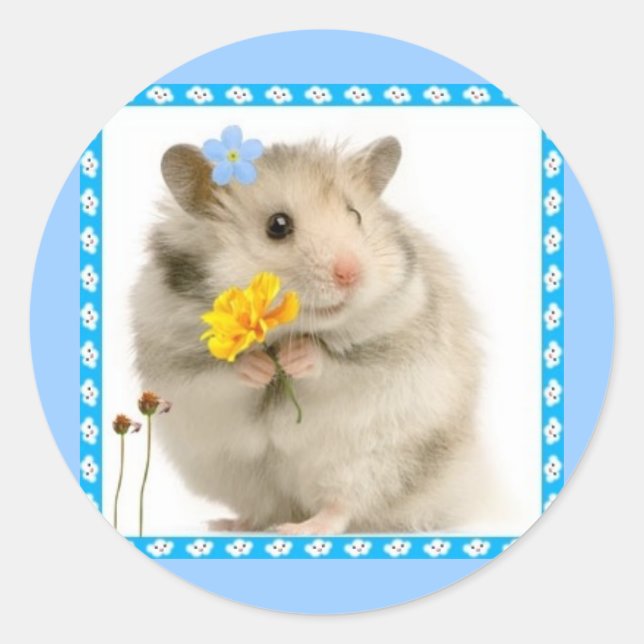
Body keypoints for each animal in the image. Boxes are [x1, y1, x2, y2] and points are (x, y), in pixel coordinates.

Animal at [131, 135, 497, 534]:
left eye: (355, 215)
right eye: (277, 225)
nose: (351, 274)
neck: (287, 331)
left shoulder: (392, 344)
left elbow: (334, 363)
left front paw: (296, 358)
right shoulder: (177, 362)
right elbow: (221, 374)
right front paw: (260, 366)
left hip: (372, 462)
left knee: (342, 507)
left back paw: (300, 528)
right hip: (235, 474)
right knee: (266, 508)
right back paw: (229, 523)